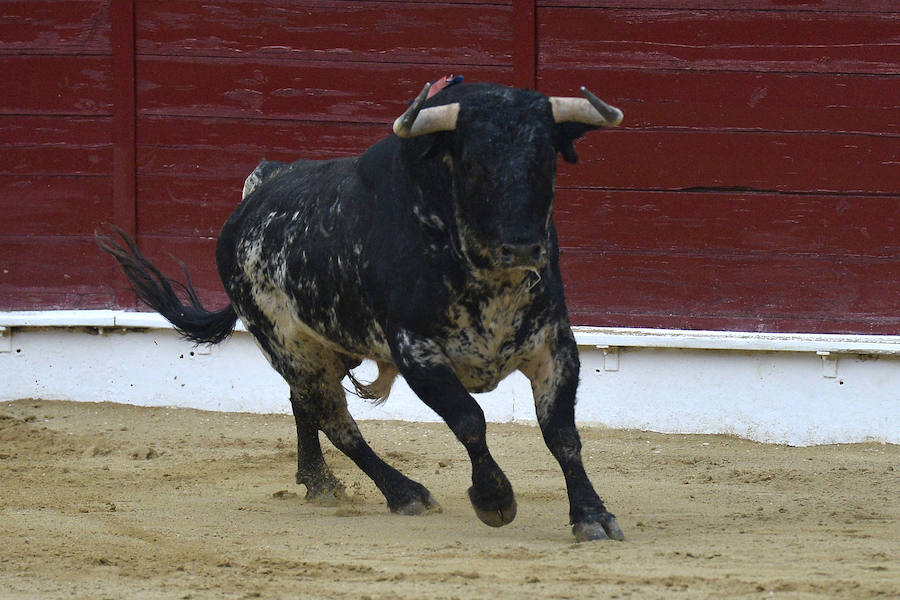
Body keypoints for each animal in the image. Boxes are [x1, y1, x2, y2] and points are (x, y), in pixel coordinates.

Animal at [95, 78, 624, 540]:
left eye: (546, 158)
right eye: (474, 162)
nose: (522, 247)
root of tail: (257, 190)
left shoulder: (554, 344)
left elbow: (561, 433)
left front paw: (591, 515)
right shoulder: (416, 351)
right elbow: (469, 420)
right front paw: (494, 499)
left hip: (328, 345)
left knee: (303, 403)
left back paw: (319, 482)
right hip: (289, 346)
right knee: (335, 420)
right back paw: (402, 492)